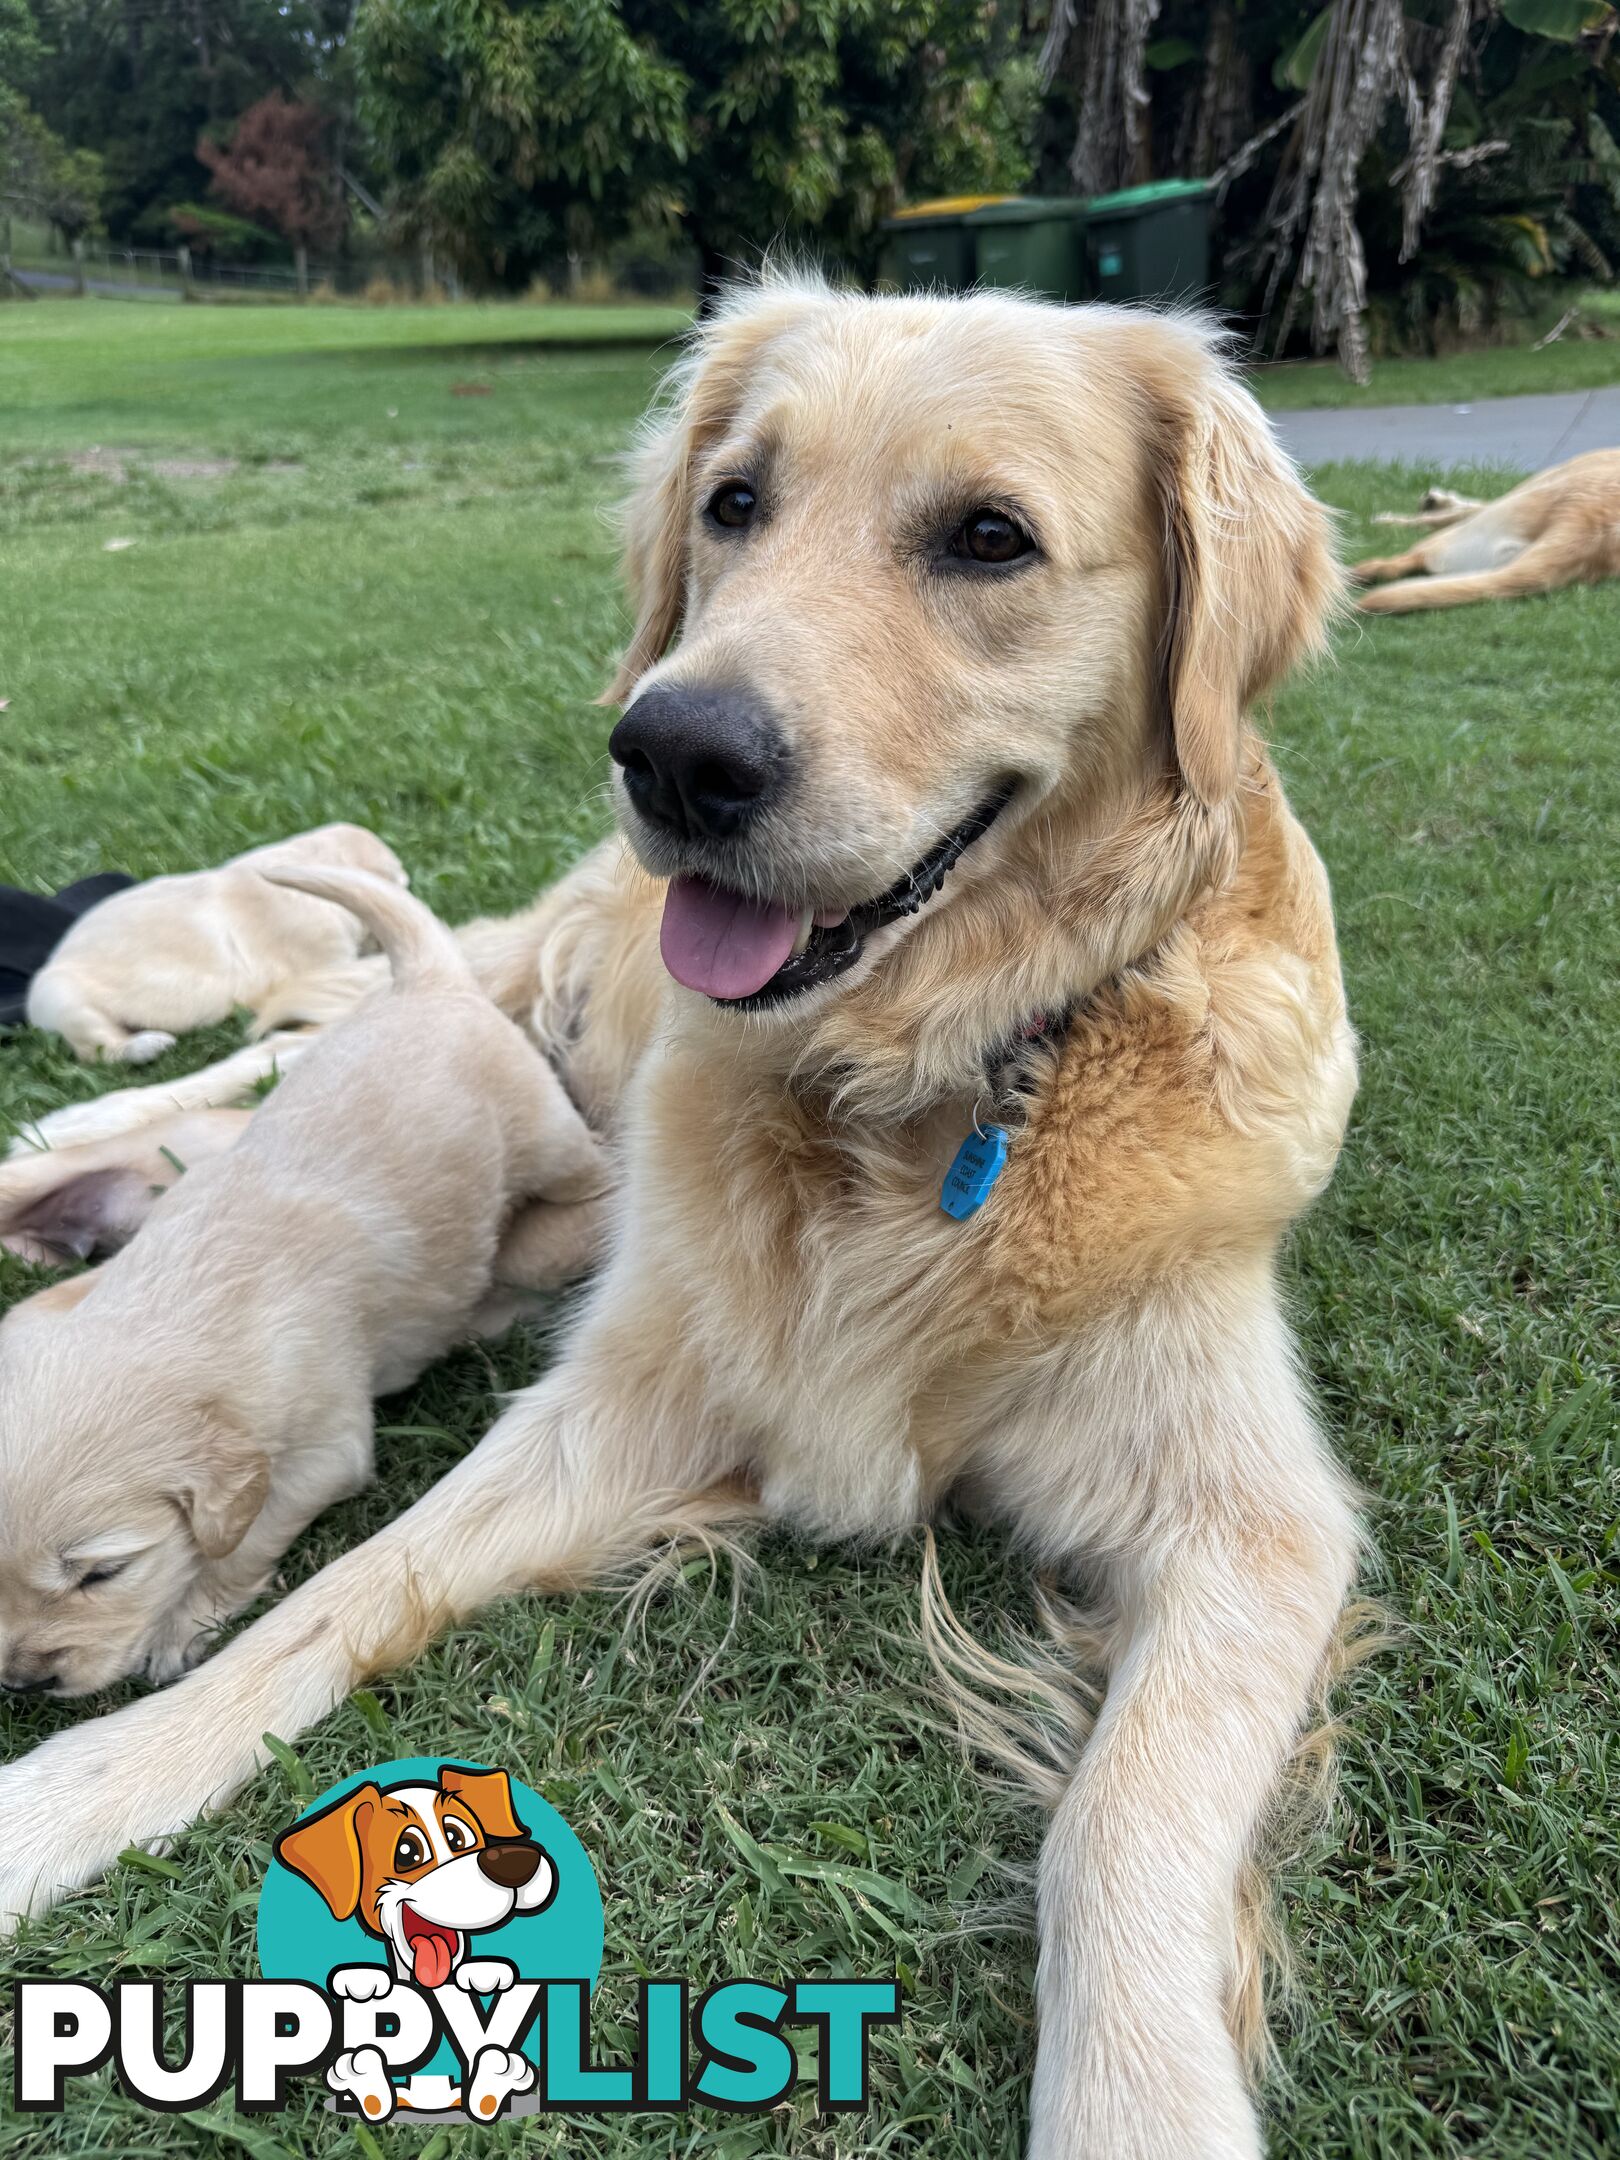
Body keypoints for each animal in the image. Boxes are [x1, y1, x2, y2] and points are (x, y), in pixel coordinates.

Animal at [0, 868, 604, 1693]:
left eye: (101, 1574)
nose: (25, 1684)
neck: (174, 1309)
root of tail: (428, 979)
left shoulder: (324, 1448)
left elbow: (251, 1537)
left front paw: (188, 1620)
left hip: (546, 1134)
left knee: (588, 1160)